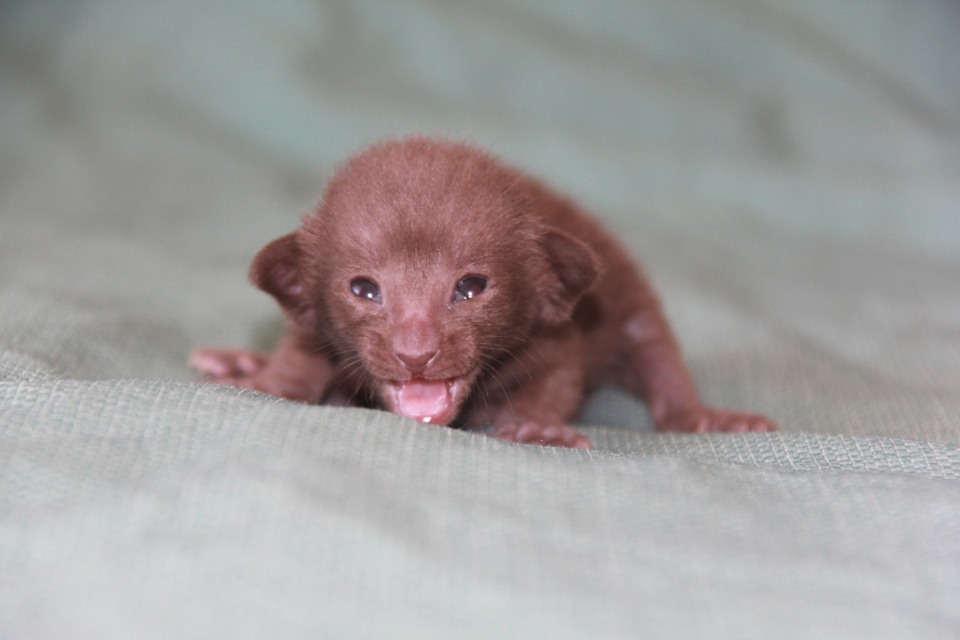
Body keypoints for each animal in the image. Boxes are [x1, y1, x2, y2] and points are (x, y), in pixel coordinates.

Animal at [191, 136, 776, 444]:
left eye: (471, 287)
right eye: (363, 289)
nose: (415, 354)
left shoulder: (556, 333)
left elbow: (559, 378)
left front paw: (537, 426)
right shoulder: (314, 327)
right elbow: (297, 357)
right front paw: (266, 380)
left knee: (656, 355)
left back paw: (703, 415)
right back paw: (238, 359)